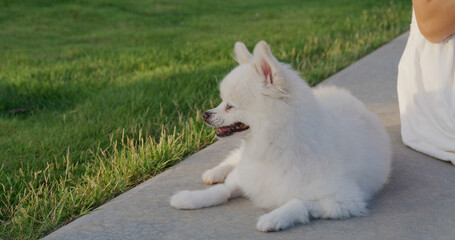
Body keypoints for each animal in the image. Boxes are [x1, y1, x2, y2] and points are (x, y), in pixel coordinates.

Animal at [171, 40, 392, 232]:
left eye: (230, 105)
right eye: (221, 101)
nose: (205, 114)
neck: (274, 147)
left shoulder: (343, 199)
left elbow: (298, 202)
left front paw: (274, 218)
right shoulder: (247, 176)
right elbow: (222, 191)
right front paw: (189, 198)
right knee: (233, 158)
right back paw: (214, 173)